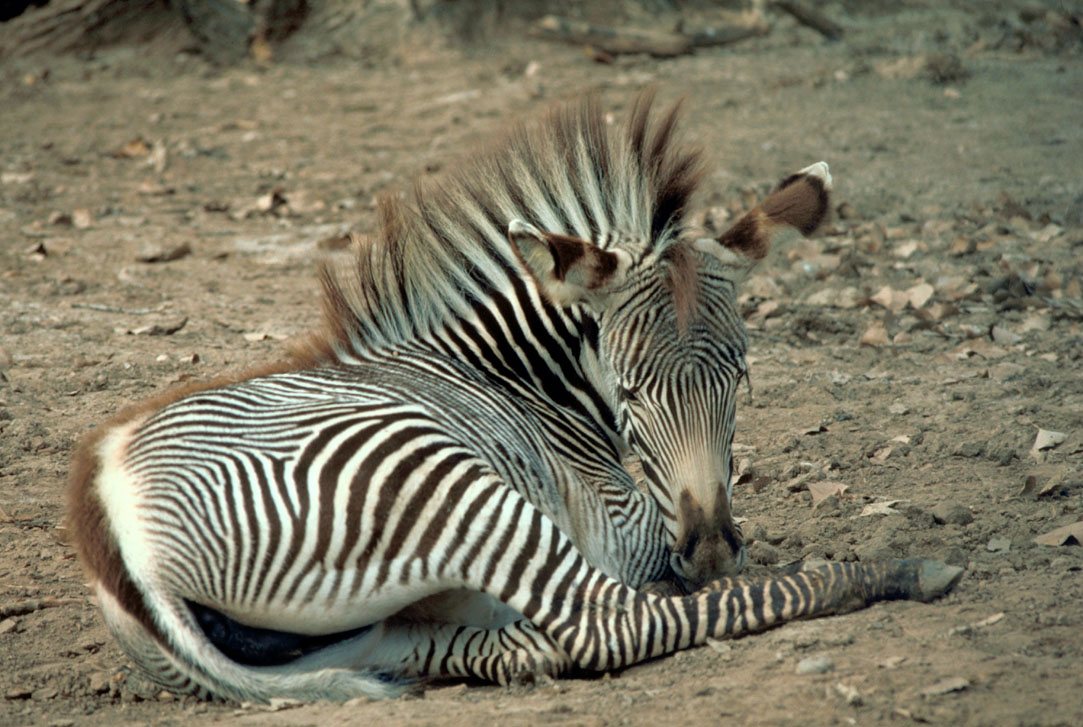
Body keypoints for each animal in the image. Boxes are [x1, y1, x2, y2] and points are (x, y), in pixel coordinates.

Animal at [67, 92, 961, 702]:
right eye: (628, 388)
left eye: (740, 376)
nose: (708, 549)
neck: (518, 376)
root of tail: (119, 530)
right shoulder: (625, 526)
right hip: (449, 486)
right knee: (609, 621)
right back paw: (901, 569)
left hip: (363, 640)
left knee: (511, 645)